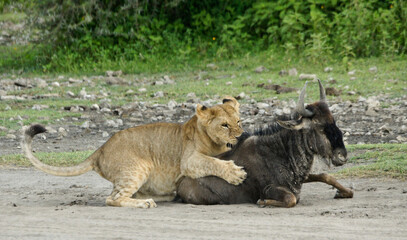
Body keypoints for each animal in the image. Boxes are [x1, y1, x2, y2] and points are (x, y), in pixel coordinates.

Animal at [21, 97, 245, 208]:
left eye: (238, 121)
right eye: (224, 125)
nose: (241, 135)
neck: (215, 142)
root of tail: (100, 150)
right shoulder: (188, 160)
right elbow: (212, 162)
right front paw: (236, 174)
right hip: (137, 168)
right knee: (113, 199)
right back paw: (145, 203)